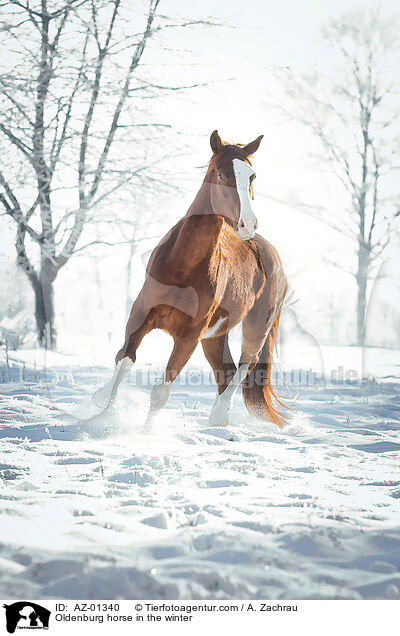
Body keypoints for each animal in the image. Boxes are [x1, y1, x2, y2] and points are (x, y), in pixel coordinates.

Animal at [94, 130, 288, 428]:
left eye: (251, 177)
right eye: (221, 175)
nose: (248, 224)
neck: (182, 267)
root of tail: (271, 255)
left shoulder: (189, 336)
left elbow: (161, 392)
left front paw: (144, 433)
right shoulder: (140, 314)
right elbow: (124, 359)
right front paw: (100, 411)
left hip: (255, 327)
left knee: (247, 364)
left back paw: (219, 415)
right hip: (215, 338)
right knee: (226, 372)